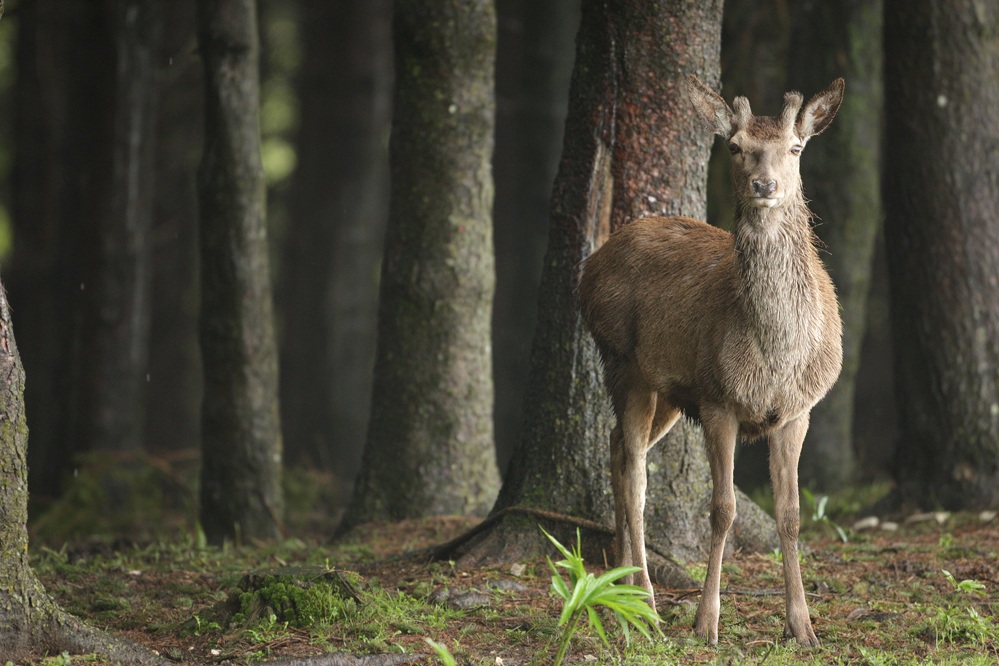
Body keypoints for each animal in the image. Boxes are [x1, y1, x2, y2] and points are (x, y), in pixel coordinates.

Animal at [577, 75, 845, 647]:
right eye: (736, 147)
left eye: (796, 147)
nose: (764, 185)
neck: (779, 351)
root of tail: (590, 265)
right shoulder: (720, 398)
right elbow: (722, 511)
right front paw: (706, 623)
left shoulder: (798, 409)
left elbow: (790, 514)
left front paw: (803, 626)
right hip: (622, 360)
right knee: (635, 473)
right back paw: (645, 600)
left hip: (668, 392)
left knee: (616, 448)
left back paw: (623, 588)